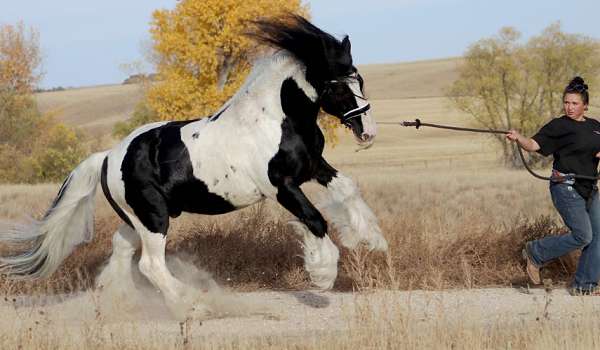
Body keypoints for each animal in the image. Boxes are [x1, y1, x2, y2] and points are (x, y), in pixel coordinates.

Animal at [0, 15, 386, 318]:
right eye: (337, 86)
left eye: (359, 80)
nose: (367, 132)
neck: (275, 120)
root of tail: (109, 156)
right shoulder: (282, 186)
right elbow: (314, 219)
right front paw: (323, 274)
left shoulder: (314, 167)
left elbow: (347, 190)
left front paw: (372, 240)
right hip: (154, 218)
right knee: (150, 264)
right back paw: (192, 306)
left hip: (137, 218)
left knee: (122, 250)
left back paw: (123, 303)